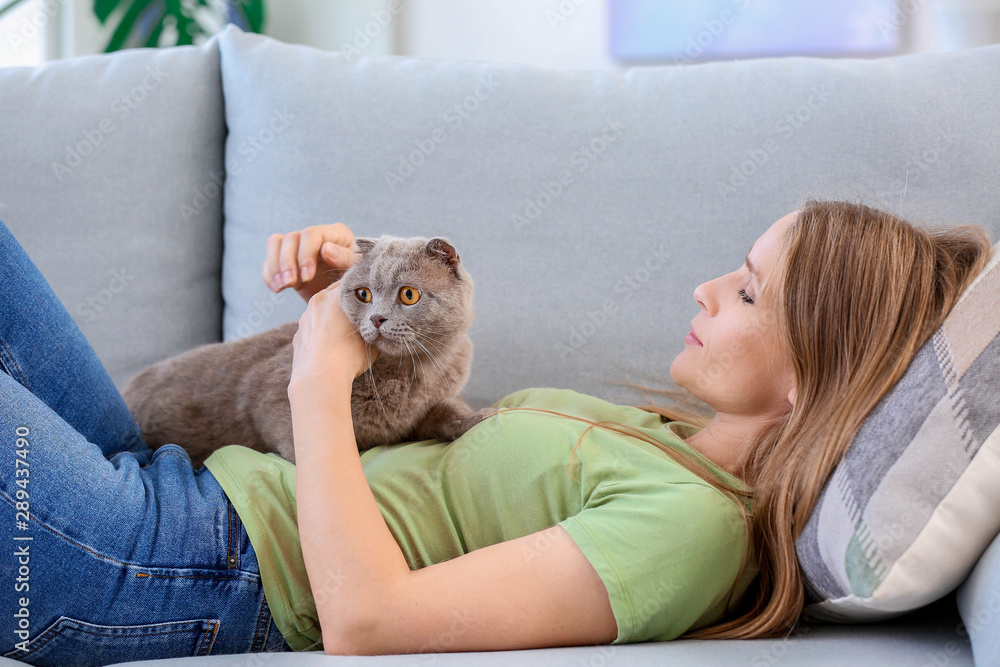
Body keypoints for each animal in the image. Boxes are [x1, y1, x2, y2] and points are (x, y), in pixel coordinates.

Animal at [123, 237, 498, 468]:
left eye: (409, 295)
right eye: (363, 294)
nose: (376, 318)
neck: (407, 373)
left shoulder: (422, 411)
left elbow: (445, 410)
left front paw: (479, 416)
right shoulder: (277, 410)